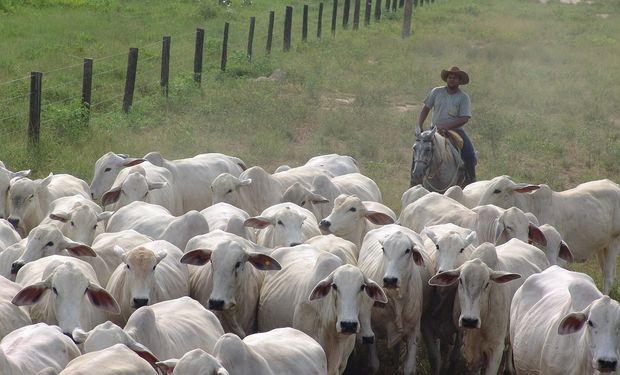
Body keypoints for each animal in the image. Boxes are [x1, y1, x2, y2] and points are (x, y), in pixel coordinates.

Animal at [356, 226, 434, 375]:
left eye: (407, 250)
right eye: (383, 249)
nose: (390, 280)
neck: (396, 300)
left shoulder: (414, 332)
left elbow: (409, 367)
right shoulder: (371, 331)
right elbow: (374, 364)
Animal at [432, 241, 548, 375]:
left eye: (487, 284)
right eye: (460, 280)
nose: (469, 321)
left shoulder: (496, 349)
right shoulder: (471, 353)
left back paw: (509, 368)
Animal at [480, 176, 620, 294]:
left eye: (497, 190)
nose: (480, 205)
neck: (533, 205)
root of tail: (614, 185)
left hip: (614, 243)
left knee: (608, 277)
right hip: (601, 247)